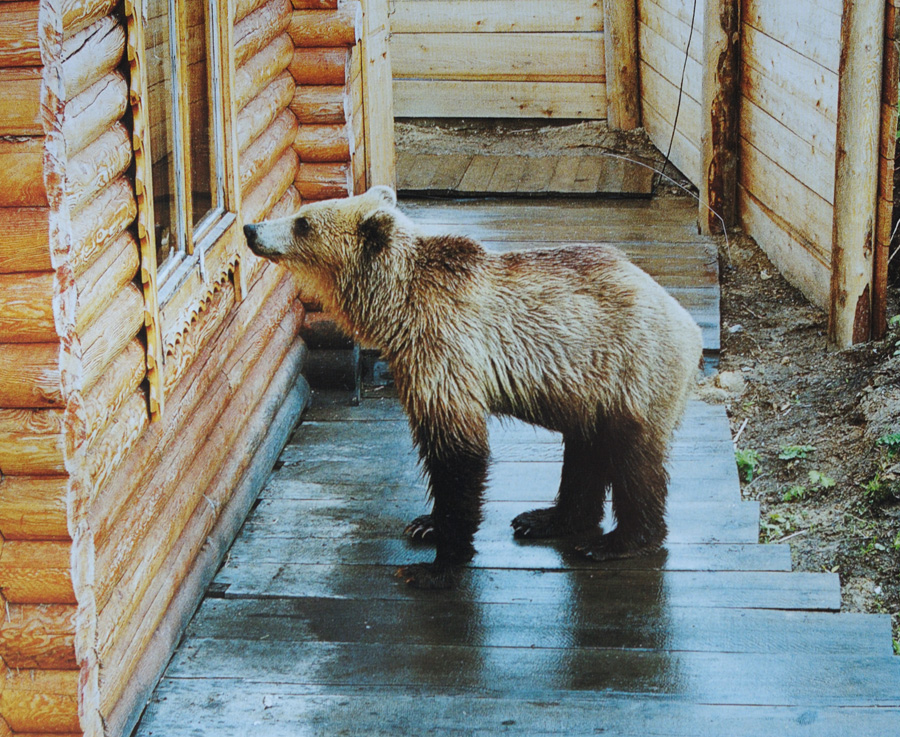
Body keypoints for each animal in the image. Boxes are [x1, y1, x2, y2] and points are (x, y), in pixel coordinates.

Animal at [244, 187, 704, 588]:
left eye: (303, 222)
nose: (251, 228)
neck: (397, 308)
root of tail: (687, 321)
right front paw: (426, 524)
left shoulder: (444, 351)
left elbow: (458, 454)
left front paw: (435, 564)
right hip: (589, 388)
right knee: (584, 451)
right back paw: (546, 518)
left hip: (630, 369)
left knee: (634, 459)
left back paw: (618, 540)